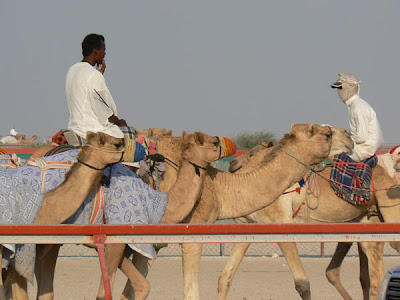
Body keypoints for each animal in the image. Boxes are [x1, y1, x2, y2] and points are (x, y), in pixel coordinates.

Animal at [219, 134, 400, 300]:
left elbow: (302, 283)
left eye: (252, 153)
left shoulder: (280, 221)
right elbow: (225, 277)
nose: (233, 164)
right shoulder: (248, 227)